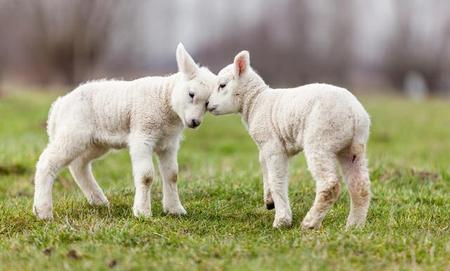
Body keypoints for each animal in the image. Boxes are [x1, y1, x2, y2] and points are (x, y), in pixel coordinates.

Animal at [33, 43, 216, 221]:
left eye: (207, 104)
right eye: (191, 94)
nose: (195, 122)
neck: (164, 99)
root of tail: (58, 106)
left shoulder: (169, 143)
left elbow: (172, 175)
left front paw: (175, 210)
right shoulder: (142, 135)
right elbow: (146, 176)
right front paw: (142, 212)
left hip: (96, 142)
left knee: (79, 165)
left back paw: (99, 201)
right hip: (73, 132)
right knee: (47, 162)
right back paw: (43, 211)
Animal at [206, 50, 370, 230]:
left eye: (222, 85)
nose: (207, 104)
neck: (255, 101)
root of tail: (355, 113)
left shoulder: (272, 146)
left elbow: (277, 179)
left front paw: (282, 220)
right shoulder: (265, 147)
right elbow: (265, 169)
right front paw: (269, 201)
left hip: (321, 139)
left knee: (330, 185)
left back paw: (309, 223)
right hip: (351, 148)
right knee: (360, 186)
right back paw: (354, 226)